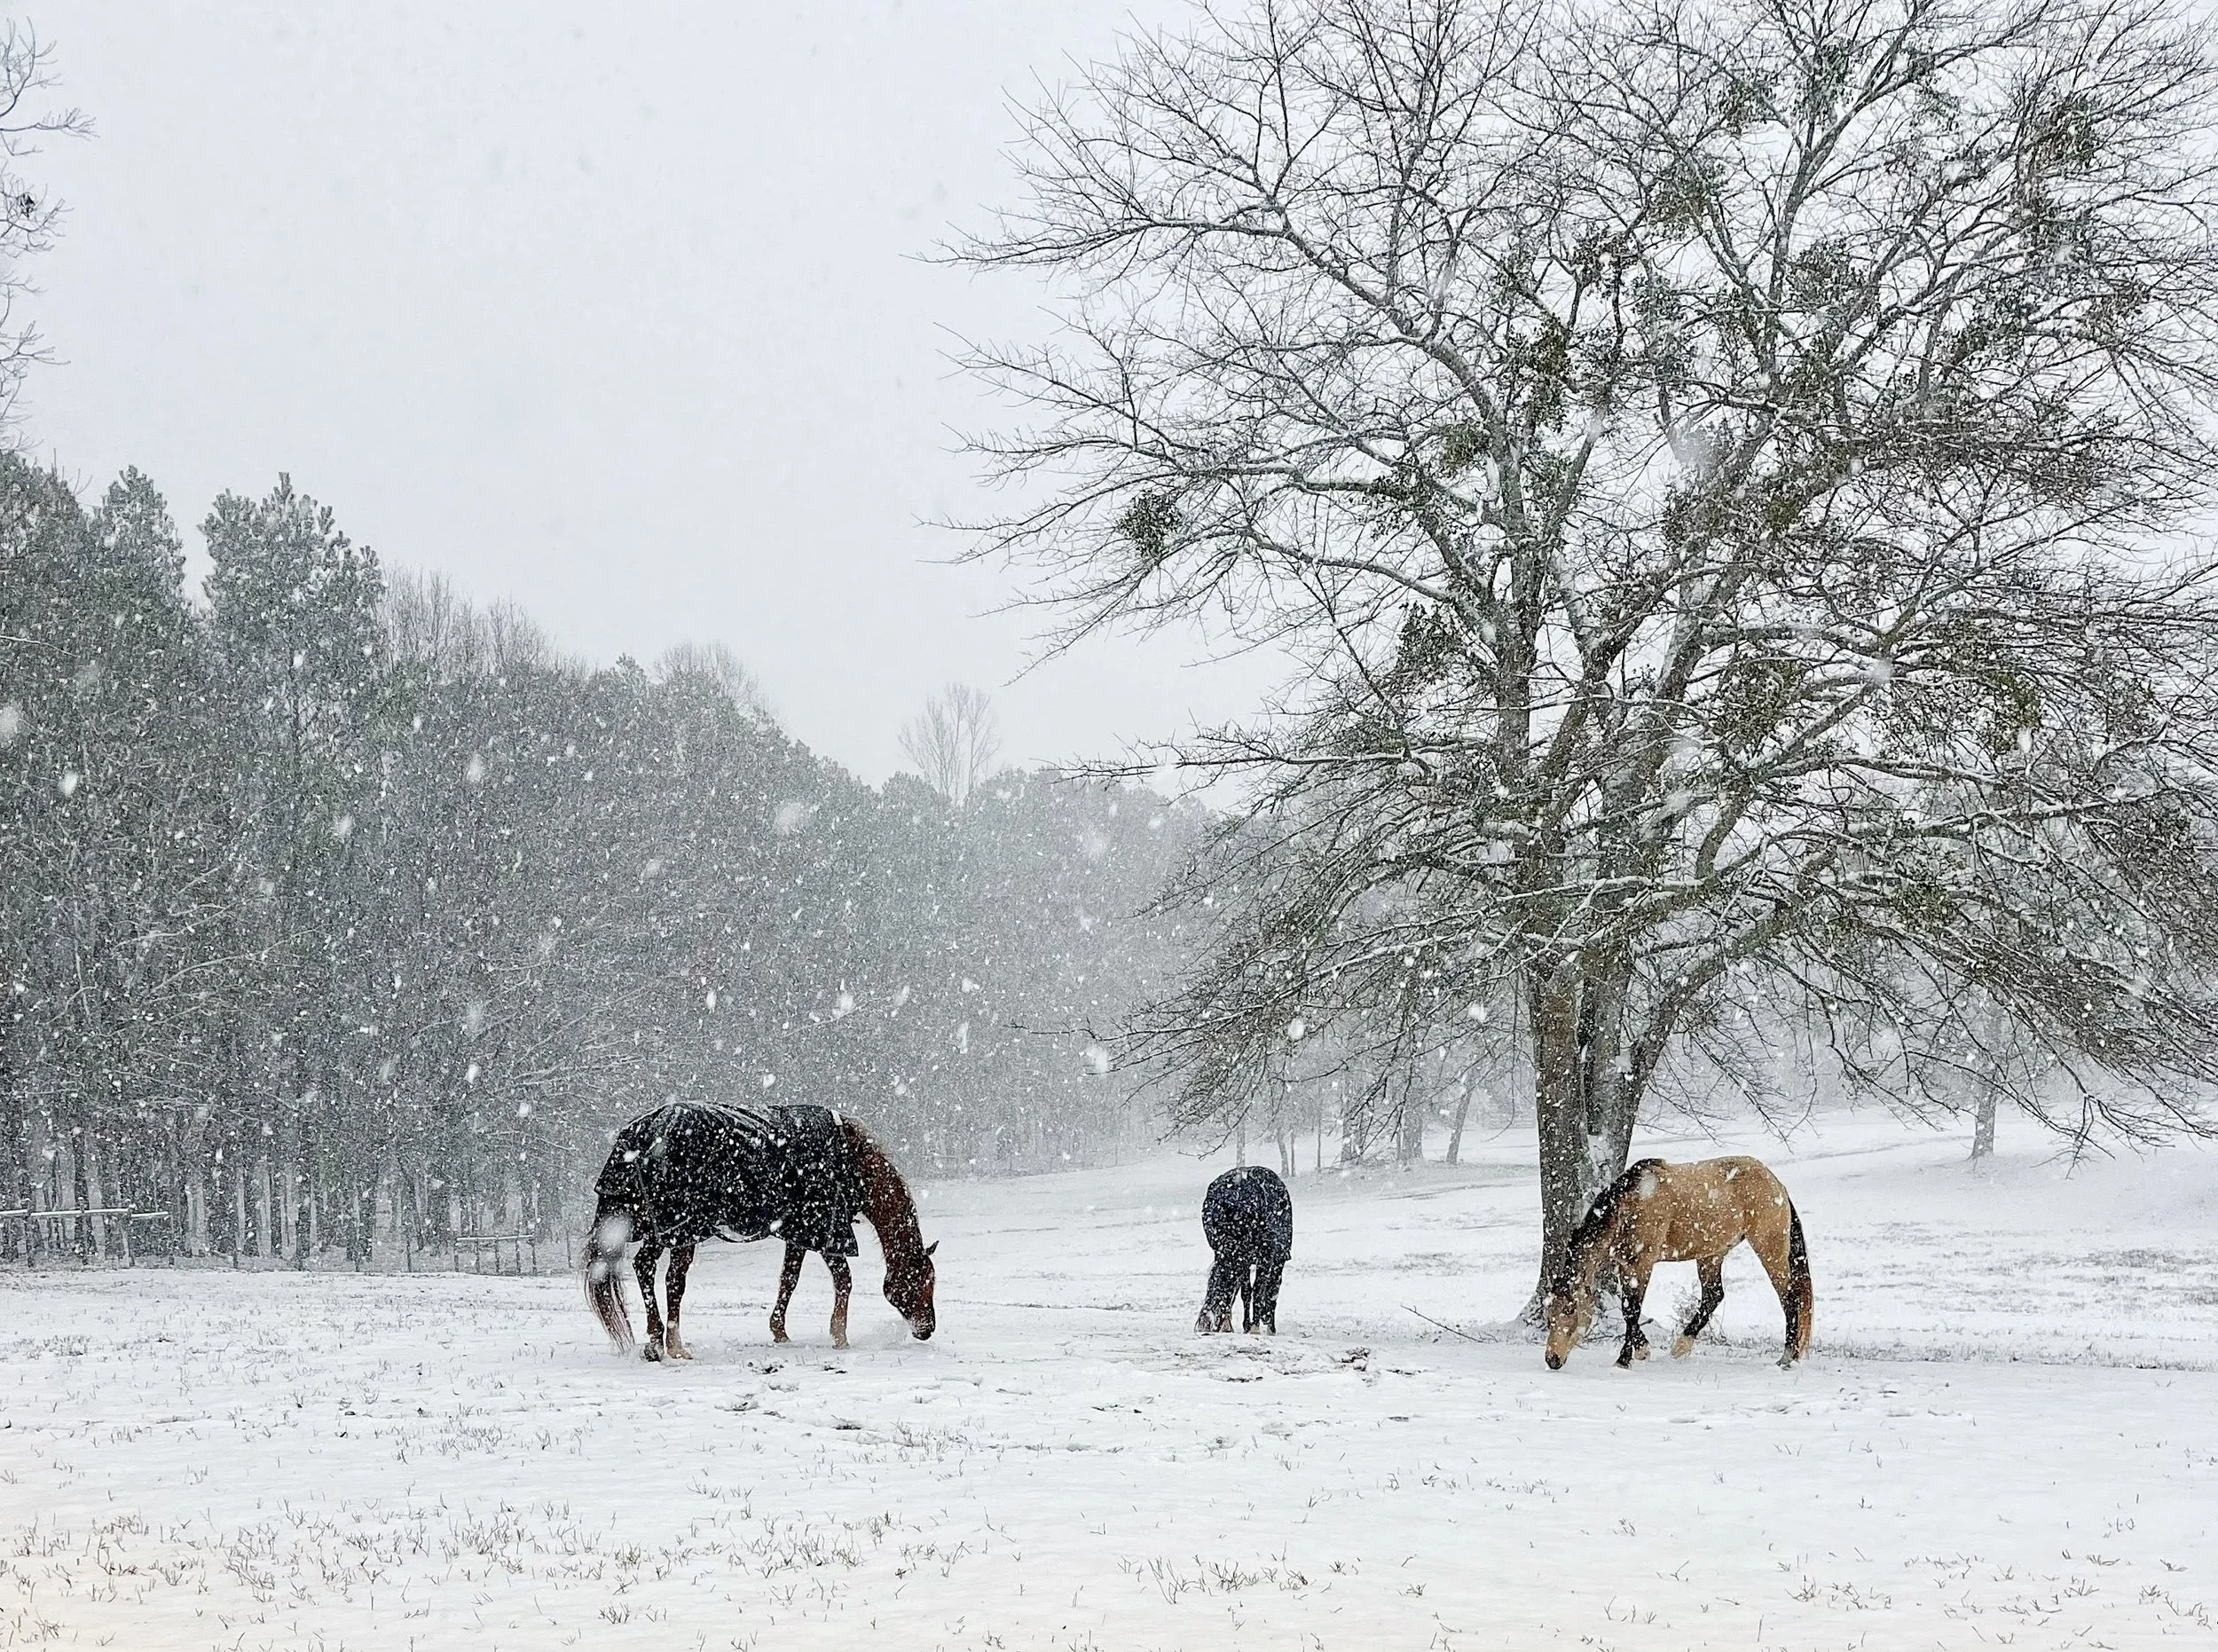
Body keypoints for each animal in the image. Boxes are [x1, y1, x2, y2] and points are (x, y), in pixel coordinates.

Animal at [583, 1100, 937, 1359]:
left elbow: (789, 1279)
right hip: (678, 1228)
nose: (928, 1329)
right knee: (663, 1276)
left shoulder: (798, 1232)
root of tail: (642, 1131)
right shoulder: (825, 1228)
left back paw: (661, 1342)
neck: (851, 1159)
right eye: (921, 1282)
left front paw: (779, 1331)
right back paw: (669, 1344)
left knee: (653, 1272)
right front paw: (839, 1336)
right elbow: (844, 1279)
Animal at [1196, 1164, 1293, 1334]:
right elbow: (1264, 1291)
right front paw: (1259, 1325)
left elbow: (1248, 1291)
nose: (1206, 1325)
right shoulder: (1272, 1257)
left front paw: (1250, 1325)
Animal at [1543, 1155, 1811, 1371]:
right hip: (1711, 1254)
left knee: (1789, 1297)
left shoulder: (1641, 1265)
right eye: (1548, 1313)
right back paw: (1681, 1347)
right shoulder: (1624, 1267)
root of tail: (1777, 1184)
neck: (1631, 1205)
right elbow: (1627, 1309)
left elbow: (1632, 1310)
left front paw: (1625, 1360)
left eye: (1570, 1310)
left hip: (1769, 1249)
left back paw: (1787, 1357)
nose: (1552, 1359)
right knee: (1713, 1295)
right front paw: (1642, 1350)